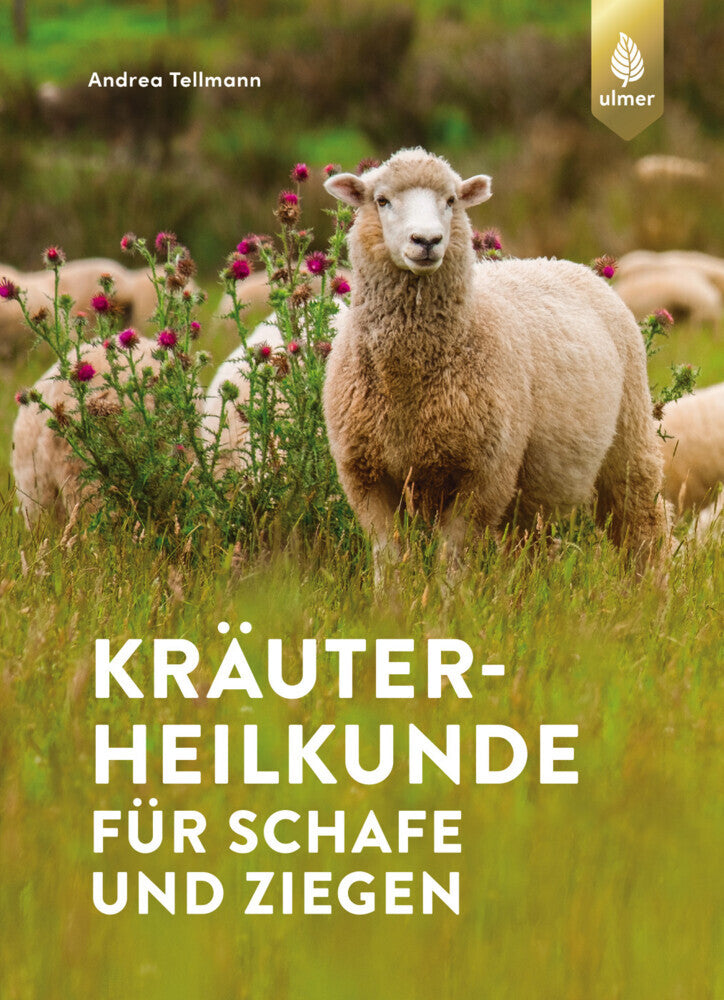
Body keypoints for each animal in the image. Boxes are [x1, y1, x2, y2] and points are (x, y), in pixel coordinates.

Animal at [322, 148, 666, 570]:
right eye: (381, 200)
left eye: (451, 200)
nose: (427, 240)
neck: (408, 384)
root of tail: (563, 262)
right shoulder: (365, 476)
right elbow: (389, 557)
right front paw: (393, 590)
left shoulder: (484, 475)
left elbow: (452, 557)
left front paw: (447, 590)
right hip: (534, 493)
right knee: (532, 547)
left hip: (630, 440)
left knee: (644, 525)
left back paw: (652, 582)